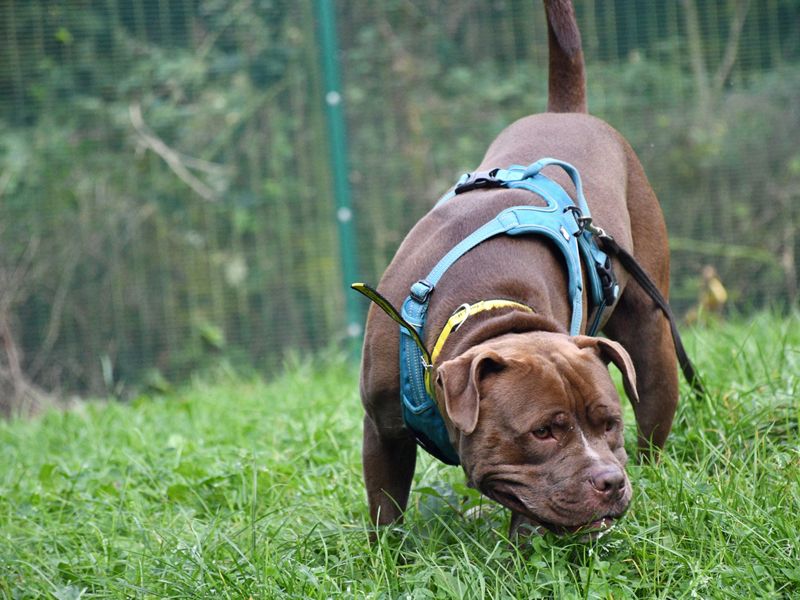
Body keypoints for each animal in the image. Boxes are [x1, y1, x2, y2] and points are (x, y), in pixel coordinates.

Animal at [360, 0, 680, 536]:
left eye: (609, 423)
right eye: (543, 431)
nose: (610, 481)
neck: (479, 312)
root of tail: (567, 112)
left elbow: (527, 516)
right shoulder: (382, 431)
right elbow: (386, 512)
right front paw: (390, 555)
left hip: (650, 335)